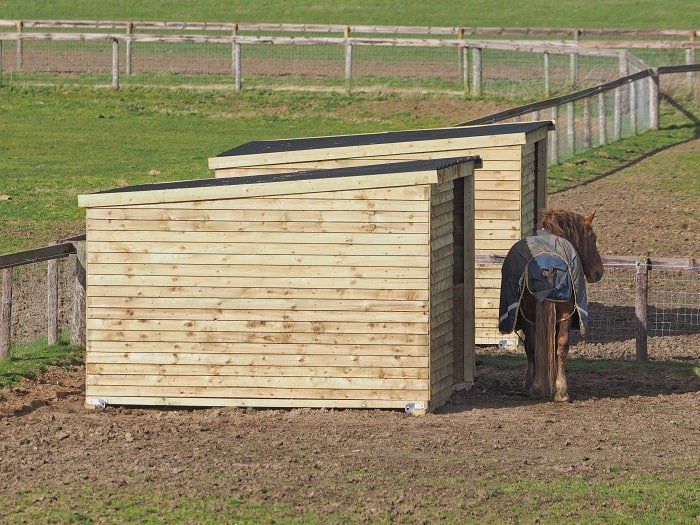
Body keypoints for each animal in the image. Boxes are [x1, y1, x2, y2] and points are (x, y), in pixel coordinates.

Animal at [498, 209, 608, 402]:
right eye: (593, 237)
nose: (598, 272)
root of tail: (547, 266)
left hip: (539, 316)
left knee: (542, 346)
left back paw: (548, 389)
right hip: (558, 315)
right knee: (554, 346)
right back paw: (557, 390)